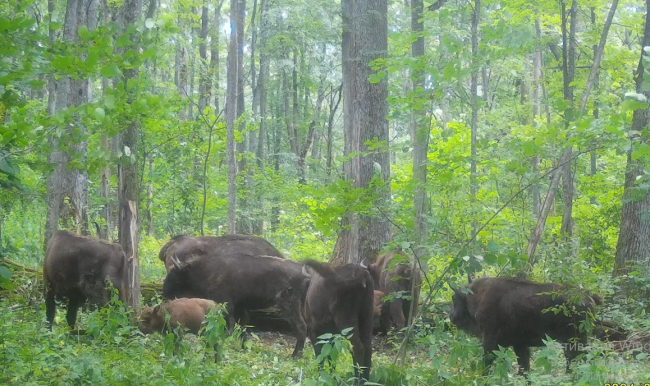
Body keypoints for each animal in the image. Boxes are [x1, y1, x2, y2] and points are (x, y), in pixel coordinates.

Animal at [162, 252, 308, 358]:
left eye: (173, 275)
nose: (164, 292)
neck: (205, 270)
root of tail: (304, 274)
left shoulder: (226, 304)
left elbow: (229, 327)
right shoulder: (239, 307)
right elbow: (242, 327)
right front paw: (243, 348)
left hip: (289, 305)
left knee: (301, 327)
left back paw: (294, 356)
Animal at [448, 278, 600, 374]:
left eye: (454, 299)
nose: (451, 316)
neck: (479, 296)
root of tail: (588, 296)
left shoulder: (490, 343)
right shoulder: (520, 345)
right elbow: (524, 369)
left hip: (573, 341)